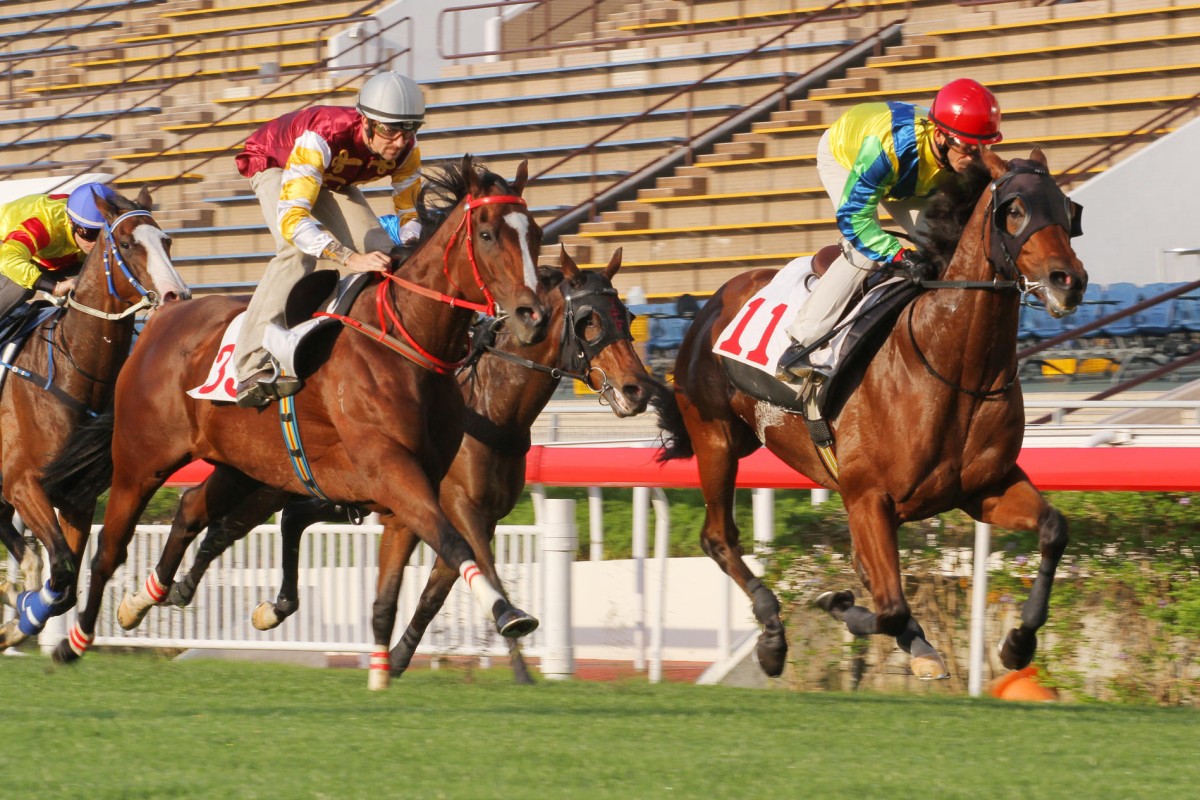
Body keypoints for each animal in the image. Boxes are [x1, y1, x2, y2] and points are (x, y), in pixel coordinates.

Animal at [0, 189, 188, 652]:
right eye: (126, 244)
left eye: (167, 240)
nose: (177, 295)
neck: (74, 371)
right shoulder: (22, 482)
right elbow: (62, 569)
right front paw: (23, 613)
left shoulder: (76, 498)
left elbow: (64, 585)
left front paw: (20, 619)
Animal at [39, 155, 554, 662]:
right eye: (487, 235)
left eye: (535, 235)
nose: (533, 317)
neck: (405, 342)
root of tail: (162, 317)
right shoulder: (392, 469)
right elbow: (452, 540)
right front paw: (507, 612)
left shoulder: (420, 482)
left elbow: (441, 554)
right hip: (140, 460)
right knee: (110, 546)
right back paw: (74, 639)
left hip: (244, 464)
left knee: (189, 508)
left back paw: (142, 599)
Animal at [144, 245, 662, 690]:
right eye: (589, 320)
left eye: (629, 317)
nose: (639, 389)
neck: (489, 408)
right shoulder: (451, 508)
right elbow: (480, 566)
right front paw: (513, 646)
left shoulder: (473, 517)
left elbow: (436, 593)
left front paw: (393, 661)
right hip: (269, 479)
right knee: (218, 517)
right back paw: (185, 587)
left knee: (252, 521)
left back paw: (219, 594)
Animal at [657, 146, 1089, 681]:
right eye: (1015, 210)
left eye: (1069, 210)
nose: (1069, 281)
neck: (952, 365)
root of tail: (713, 300)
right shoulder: (867, 498)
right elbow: (891, 607)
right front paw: (836, 603)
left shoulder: (984, 488)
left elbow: (1053, 529)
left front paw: (1017, 643)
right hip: (714, 437)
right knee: (718, 537)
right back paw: (773, 636)